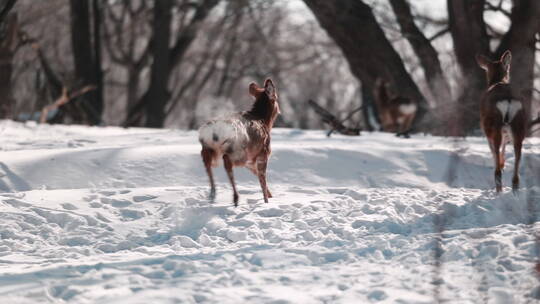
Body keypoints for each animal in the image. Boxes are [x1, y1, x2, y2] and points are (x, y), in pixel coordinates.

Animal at [199, 78, 282, 207]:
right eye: (276, 97)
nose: (279, 110)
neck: (264, 121)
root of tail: (214, 132)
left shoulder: (251, 161)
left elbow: (257, 174)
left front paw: (270, 196)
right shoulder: (263, 153)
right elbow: (262, 178)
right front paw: (266, 201)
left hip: (207, 148)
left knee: (208, 165)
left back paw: (213, 194)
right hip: (239, 150)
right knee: (227, 162)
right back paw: (235, 197)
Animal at [476, 50, 528, 192]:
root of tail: (508, 99)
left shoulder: (487, 130)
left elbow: (495, 151)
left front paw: (501, 164)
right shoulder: (506, 131)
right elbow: (504, 146)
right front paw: (503, 163)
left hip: (492, 124)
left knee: (496, 157)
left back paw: (499, 188)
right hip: (519, 124)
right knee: (518, 155)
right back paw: (515, 187)